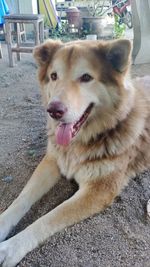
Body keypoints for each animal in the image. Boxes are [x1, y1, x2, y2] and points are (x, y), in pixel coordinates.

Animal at [0, 38, 150, 266]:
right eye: (54, 76)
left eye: (86, 77)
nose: (53, 111)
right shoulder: (52, 161)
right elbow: (22, 198)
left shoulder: (98, 191)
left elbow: (50, 217)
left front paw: (11, 247)